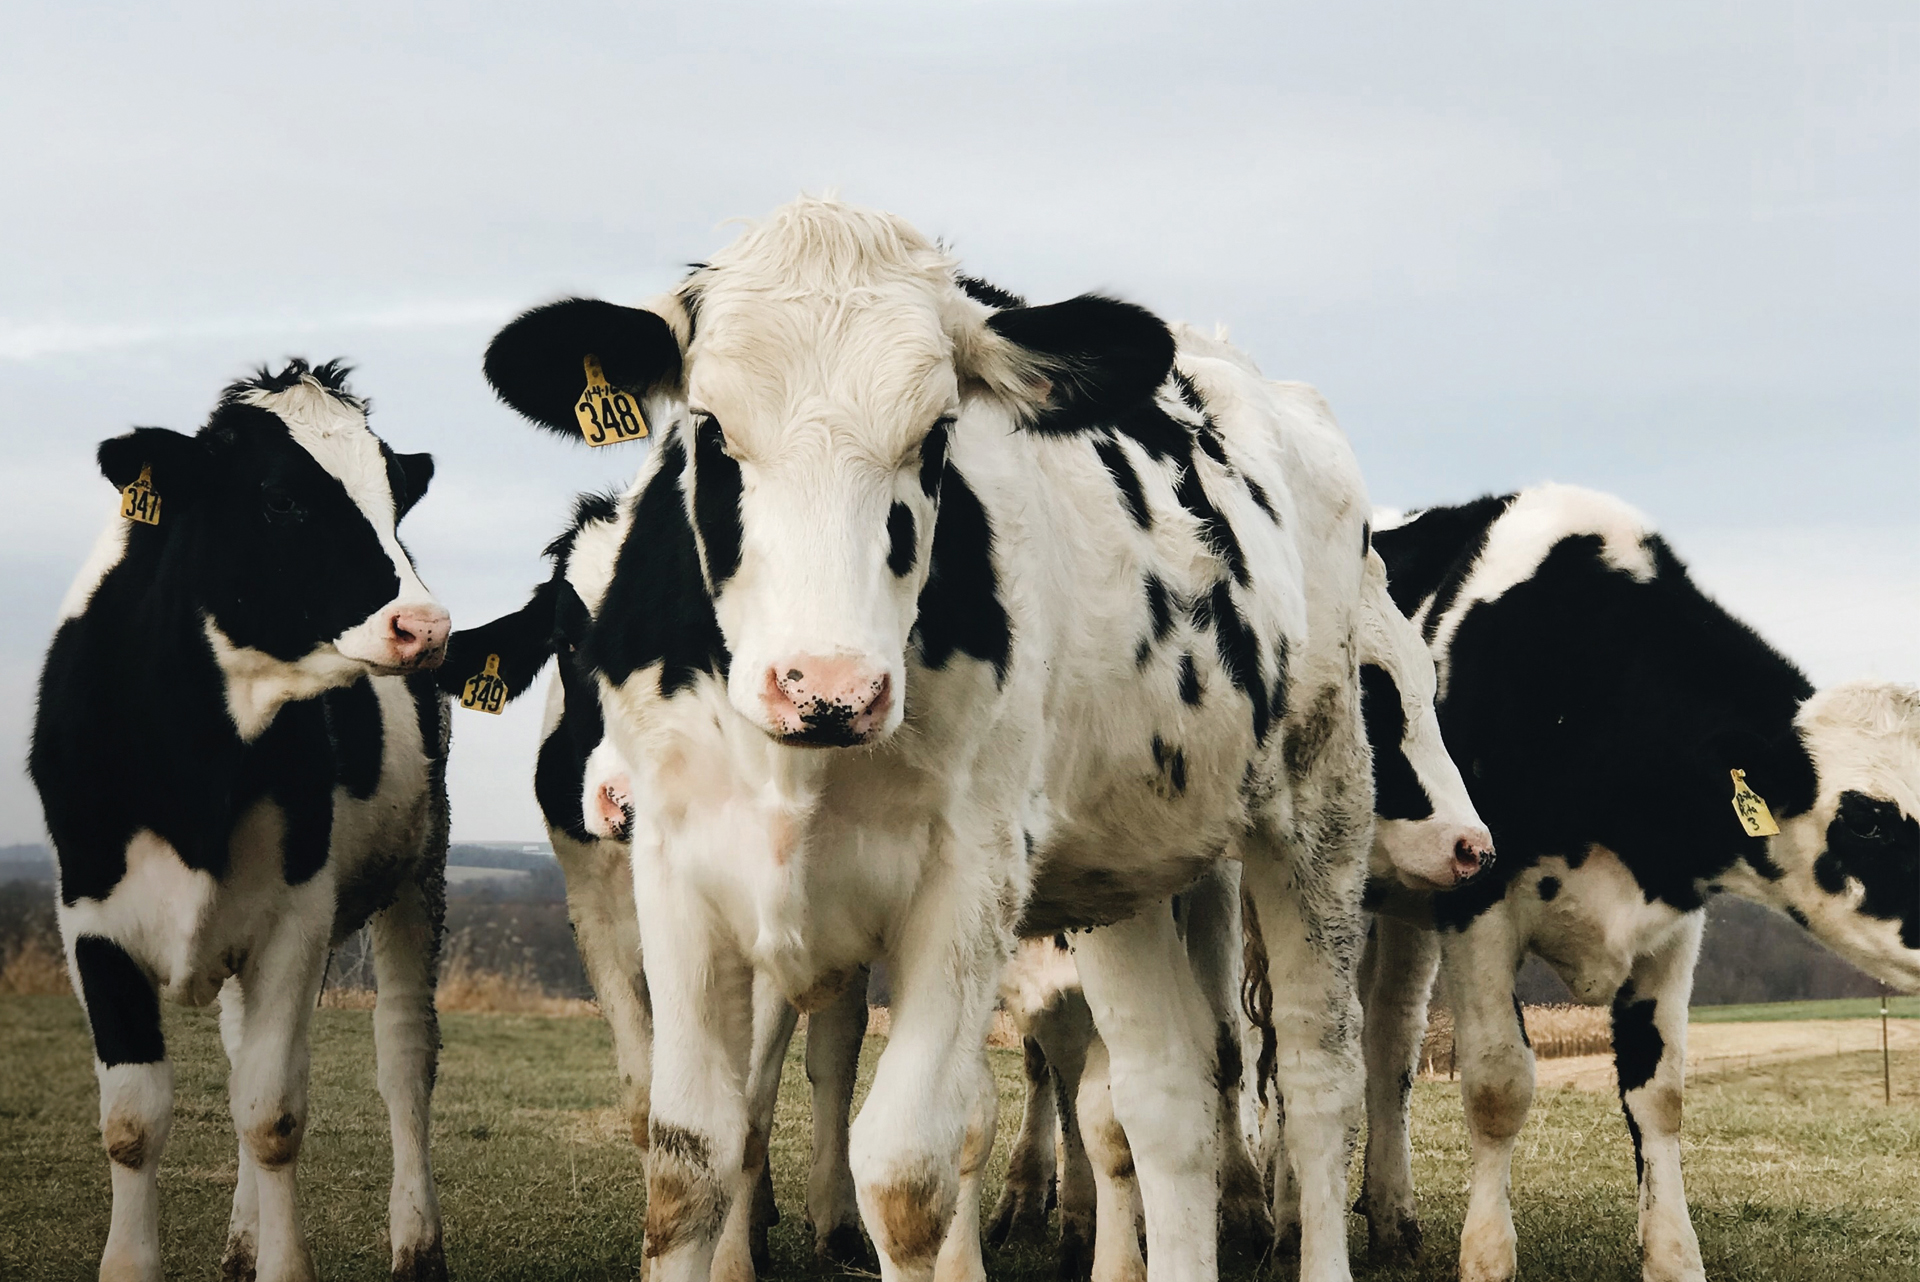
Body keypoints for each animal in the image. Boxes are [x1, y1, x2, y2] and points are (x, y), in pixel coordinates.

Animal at [29, 360, 453, 1282]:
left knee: (404, 1053)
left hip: (421, 869)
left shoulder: (295, 915)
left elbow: (272, 1114)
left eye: (395, 500)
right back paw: (241, 1237)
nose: (425, 625)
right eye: (281, 499)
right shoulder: (89, 918)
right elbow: (133, 1121)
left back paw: (416, 1242)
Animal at [437, 498, 879, 1274]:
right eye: (565, 639)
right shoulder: (596, 918)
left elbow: (749, 1109)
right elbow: (650, 1103)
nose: (632, 799)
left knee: (834, 1051)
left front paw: (730, 1264)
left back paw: (834, 1221)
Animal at [983, 545, 1489, 1282]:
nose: (1473, 846)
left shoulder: (1211, 877)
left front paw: (1244, 1207)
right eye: (1368, 690)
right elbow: (1095, 1098)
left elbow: (1217, 1050)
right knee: (1043, 1065)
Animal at [1359, 483, 1920, 1282]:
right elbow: (1499, 1084)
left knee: (1388, 1038)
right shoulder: (1477, 906)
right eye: (1869, 821)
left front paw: (1674, 1257)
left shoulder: (1672, 925)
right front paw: (1488, 1257)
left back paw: (1391, 1218)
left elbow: (1661, 1095)